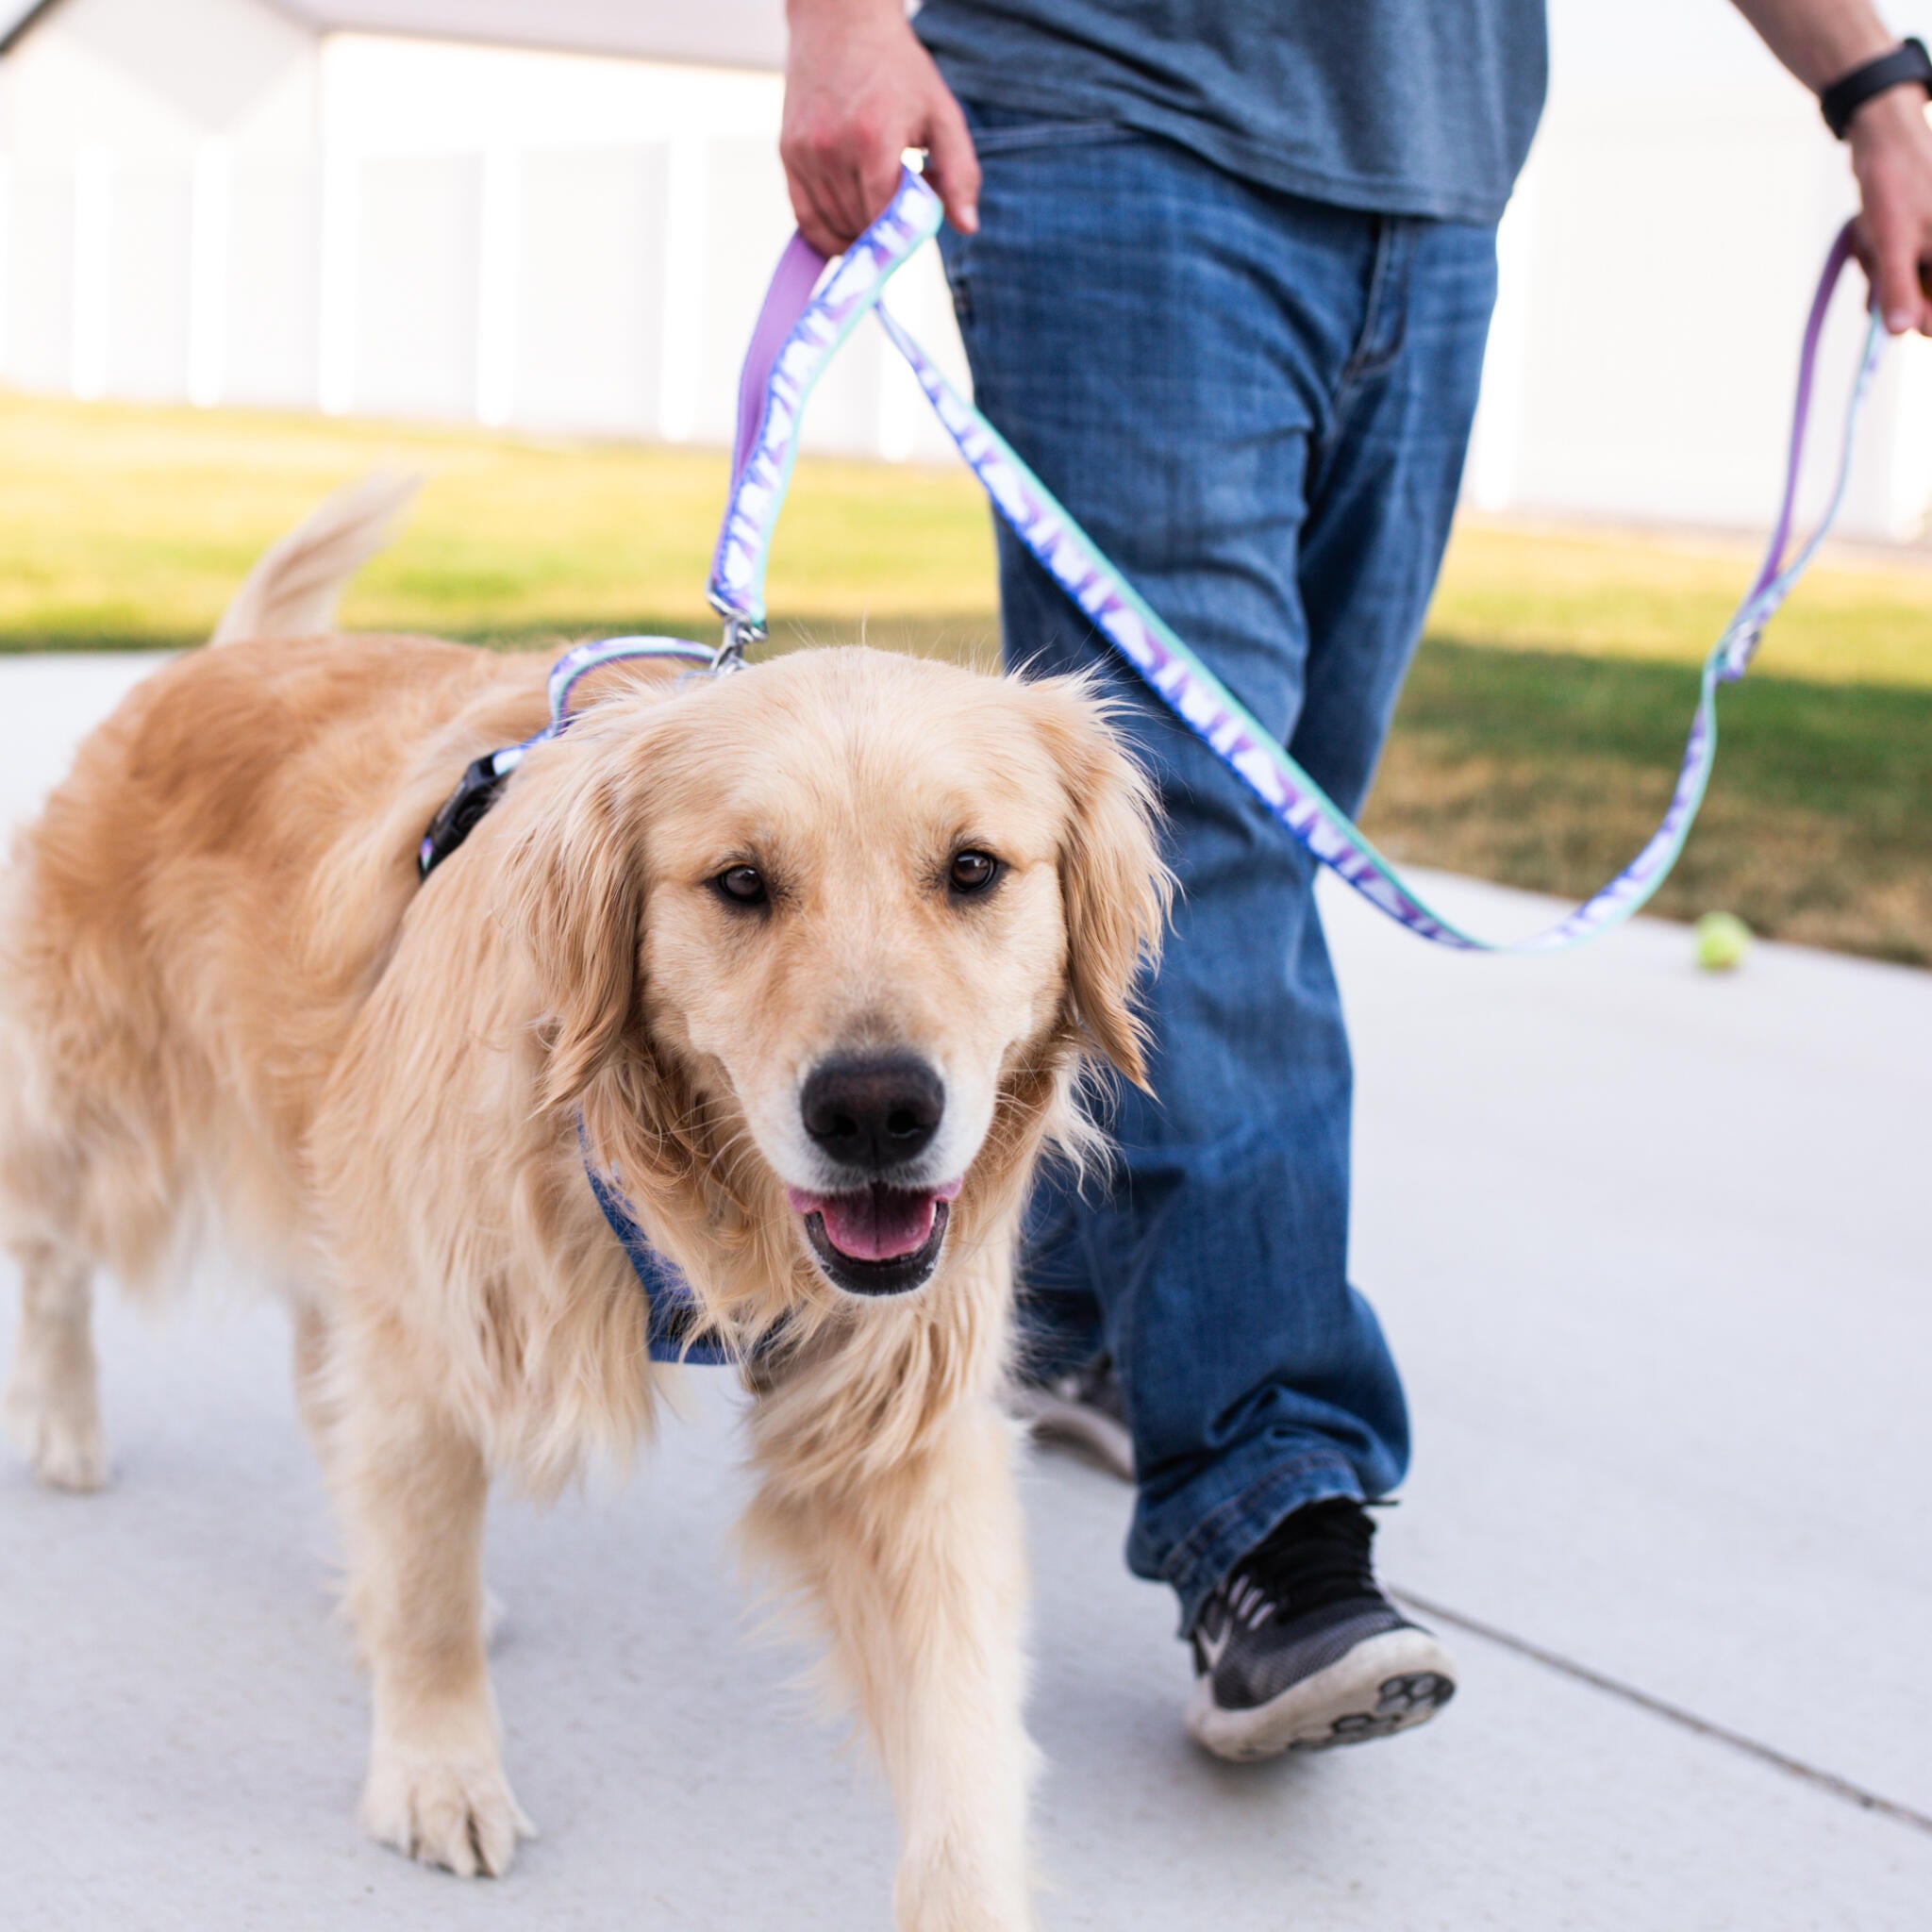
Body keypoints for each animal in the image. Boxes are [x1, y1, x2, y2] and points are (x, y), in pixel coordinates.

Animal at [0, 475, 1158, 1924]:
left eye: (972, 869)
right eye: (740, 883)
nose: (877, 1111)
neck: (680, 1177)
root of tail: (214, 659)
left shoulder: (899, 1423)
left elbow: (961, 1744)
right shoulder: (435, 1318)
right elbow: (428, 1596)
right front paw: (438, 1768)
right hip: (114, 1121)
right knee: (55, 1255)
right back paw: (66, 1425)